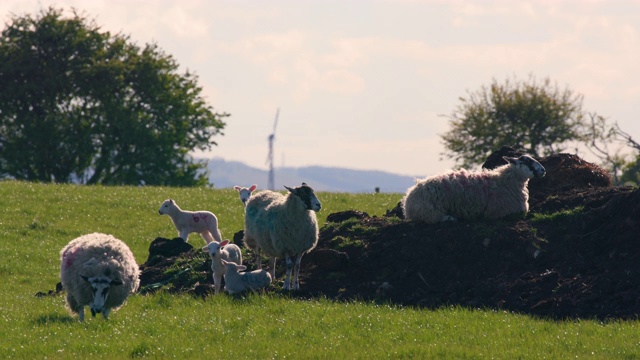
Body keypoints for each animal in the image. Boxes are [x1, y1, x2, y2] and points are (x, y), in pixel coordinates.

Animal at [400, 155, 544, 224]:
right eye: (526, 161)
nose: (543, 170)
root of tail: (408, 199)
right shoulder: (507, 212)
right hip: (428, 211)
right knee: (433, 218)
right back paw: (450, 218)